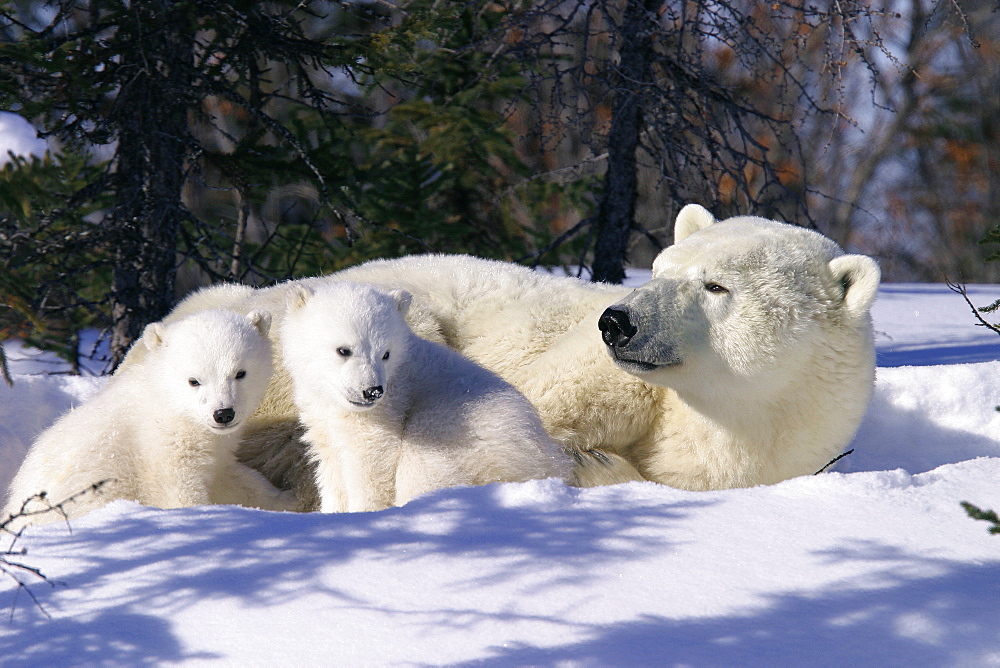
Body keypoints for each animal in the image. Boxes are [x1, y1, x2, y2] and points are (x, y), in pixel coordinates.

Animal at [3, 310, 292, 528]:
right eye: (194, 380)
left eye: (240, 372)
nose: (223, 413)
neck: (168, 402)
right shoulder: (159, 446)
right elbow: (178, 491)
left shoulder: (215, 449)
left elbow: (231, 477)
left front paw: (286, 498)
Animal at [282, 282, 576, 512]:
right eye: (344, 350)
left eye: (385, 353)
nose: (372, 391)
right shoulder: (320, 414)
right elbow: (330, 463)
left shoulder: (388, 410)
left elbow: (369, 464)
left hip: (460, 434)